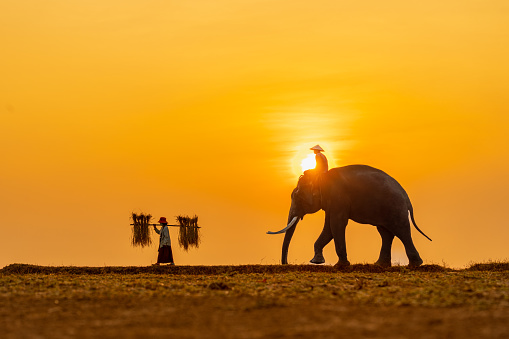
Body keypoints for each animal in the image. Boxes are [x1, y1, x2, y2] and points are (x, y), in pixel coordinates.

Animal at [268, 165, 430, 268]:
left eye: (298, 197)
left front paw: (339, 265)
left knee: (401, 230)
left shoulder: (338, 197)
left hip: (395, 207)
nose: (286, 263)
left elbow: (336, 224)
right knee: (385, 233)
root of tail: (406, 196)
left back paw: (415, 264)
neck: (321, 177)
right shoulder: (331, 203)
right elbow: (329, 227)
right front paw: (316, 261)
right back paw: (380, 264)